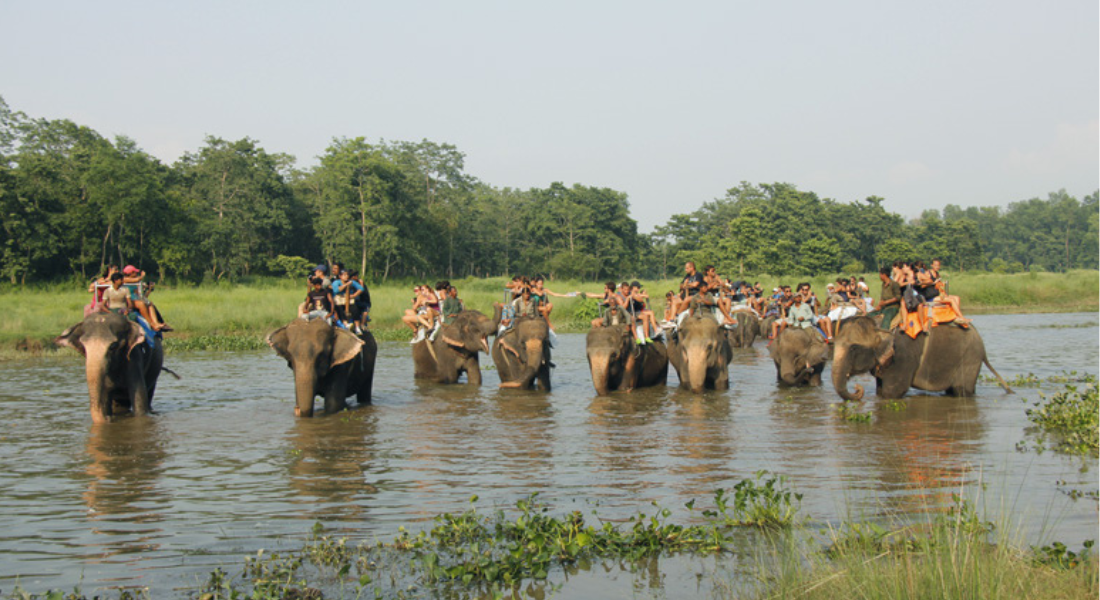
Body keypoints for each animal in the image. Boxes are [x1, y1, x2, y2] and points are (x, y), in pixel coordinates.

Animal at [831, 312, 1012, 402]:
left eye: (854, 348)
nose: (858, 388)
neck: (880, 325)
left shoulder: (902, 357)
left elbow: (893, 392)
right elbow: (881, 391)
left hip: (969, 358)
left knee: (961, 391)